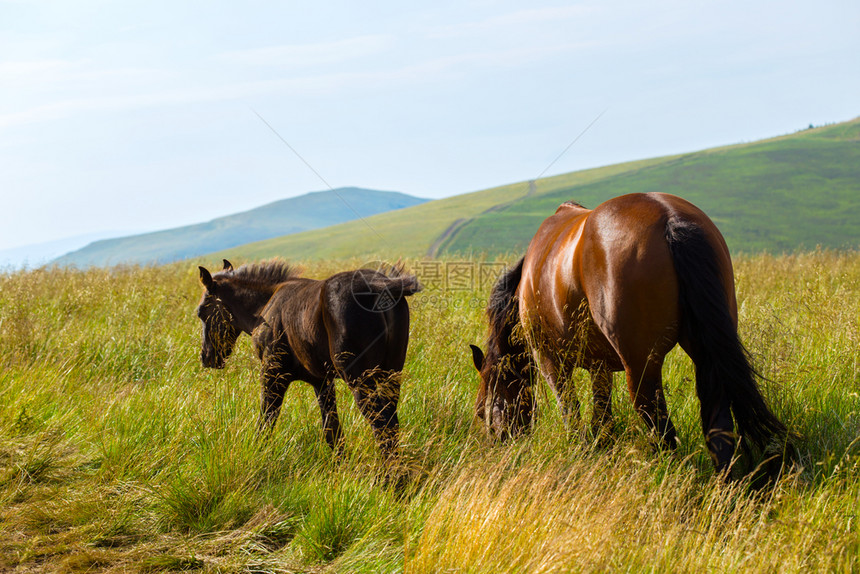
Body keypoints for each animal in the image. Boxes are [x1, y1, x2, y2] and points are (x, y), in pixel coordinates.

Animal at [196, 258, 424, 462]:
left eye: (201, 312)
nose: (206, 357)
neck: (265, 305)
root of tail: (380, 286)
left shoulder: (273, 375)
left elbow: (266, 422)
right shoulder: (322, 381)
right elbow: (332, 430)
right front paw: (341, 467)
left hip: (360, 380)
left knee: (382, 427)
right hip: (391, 374)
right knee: (391, 424)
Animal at [474, 194, 788, 476]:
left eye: (481, 408)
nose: (498, 440)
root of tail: (670, 217)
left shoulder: (550, 360)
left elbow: (571, 412)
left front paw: (581, 450)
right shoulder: (599, 365)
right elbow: (601, 414)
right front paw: (601, 447)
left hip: (639, 367)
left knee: (661, 427)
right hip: (705, 358)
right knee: (718, 424)